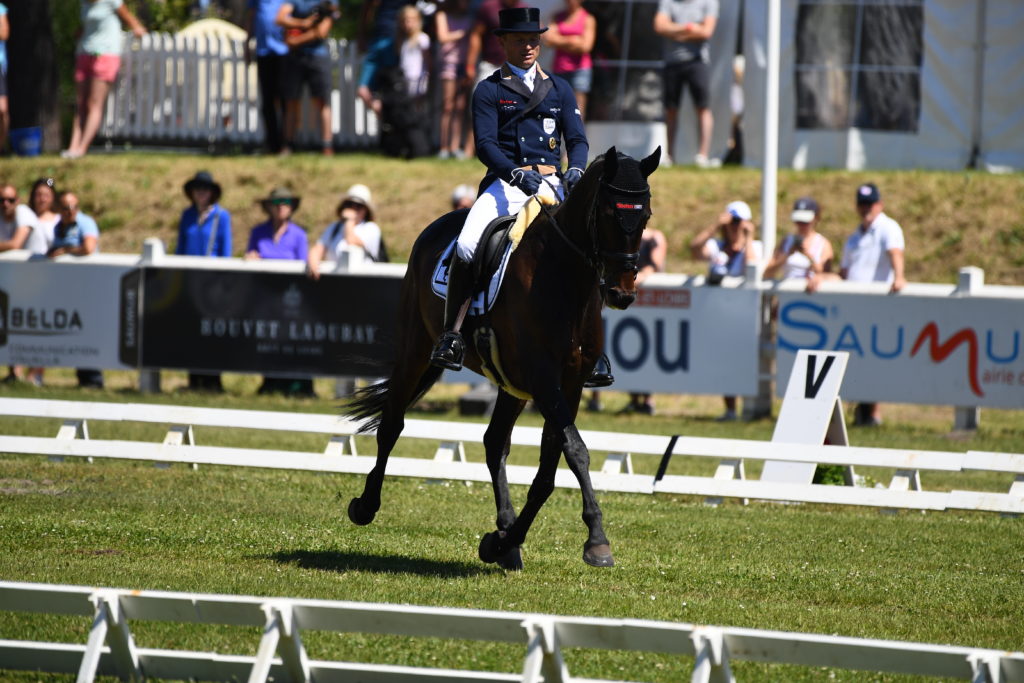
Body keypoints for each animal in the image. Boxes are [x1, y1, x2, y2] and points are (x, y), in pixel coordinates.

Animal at [348, 147, 659, 569]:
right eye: (609, 213)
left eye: (645, 216)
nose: (621, 294)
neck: (565, 280)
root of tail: (439, 225)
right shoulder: (544, 379)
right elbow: (575, 450)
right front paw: (597, 540)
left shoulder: (570, 383)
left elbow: (551, 467)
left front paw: (504, 540)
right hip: (415, 348)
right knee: (392, 423)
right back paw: (365, 505)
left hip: (512, 383)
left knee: (495, 441)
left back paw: (505, 541)